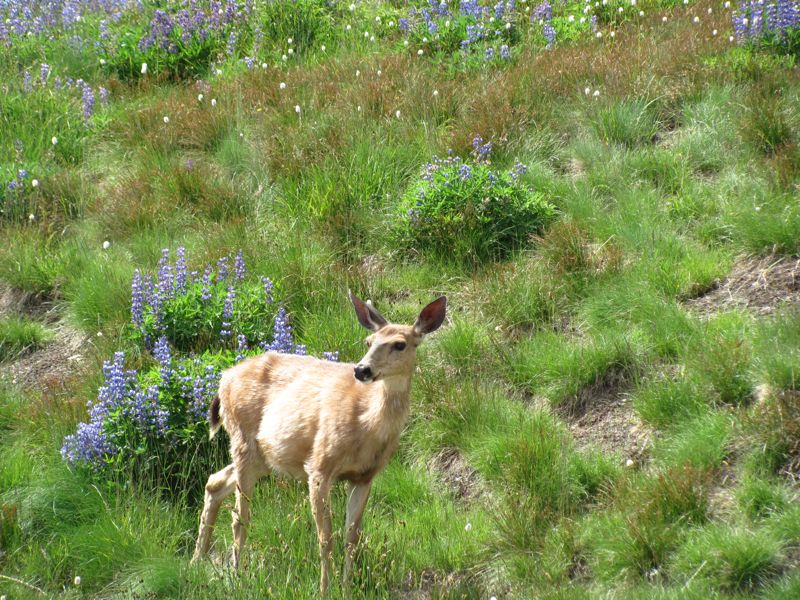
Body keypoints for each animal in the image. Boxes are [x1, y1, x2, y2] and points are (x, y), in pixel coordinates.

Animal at [191, 292, 446, 596]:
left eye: (400, 344)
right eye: (368, 342)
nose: (362, 370)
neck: (367, 426)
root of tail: (224, 378)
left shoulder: (364, 476)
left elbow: (352, 537)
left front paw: (347, 588)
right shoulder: (319, 466)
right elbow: (325, 538)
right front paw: (325, 590)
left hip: (263, 456)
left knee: (215, 482)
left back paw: (196, 560)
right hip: (243, 440)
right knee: (240, 517)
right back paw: (236, 576)